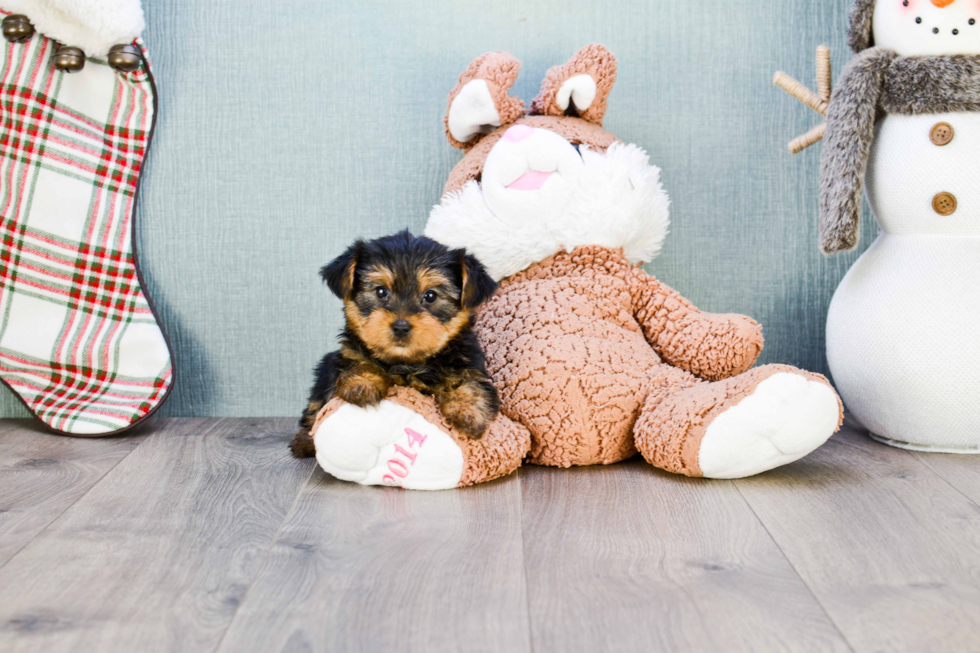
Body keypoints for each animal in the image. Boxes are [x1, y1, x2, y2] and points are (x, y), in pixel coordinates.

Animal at [290, 229, 506, 458]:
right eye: (381, 291)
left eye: (430, 296)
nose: (401, 326)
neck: (407, 362)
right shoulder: (347, 354)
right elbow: (358, 361)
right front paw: (363, 383)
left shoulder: (470, 363)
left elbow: (472, 383)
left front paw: (468, 412)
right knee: (315, 406)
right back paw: (305, 440)